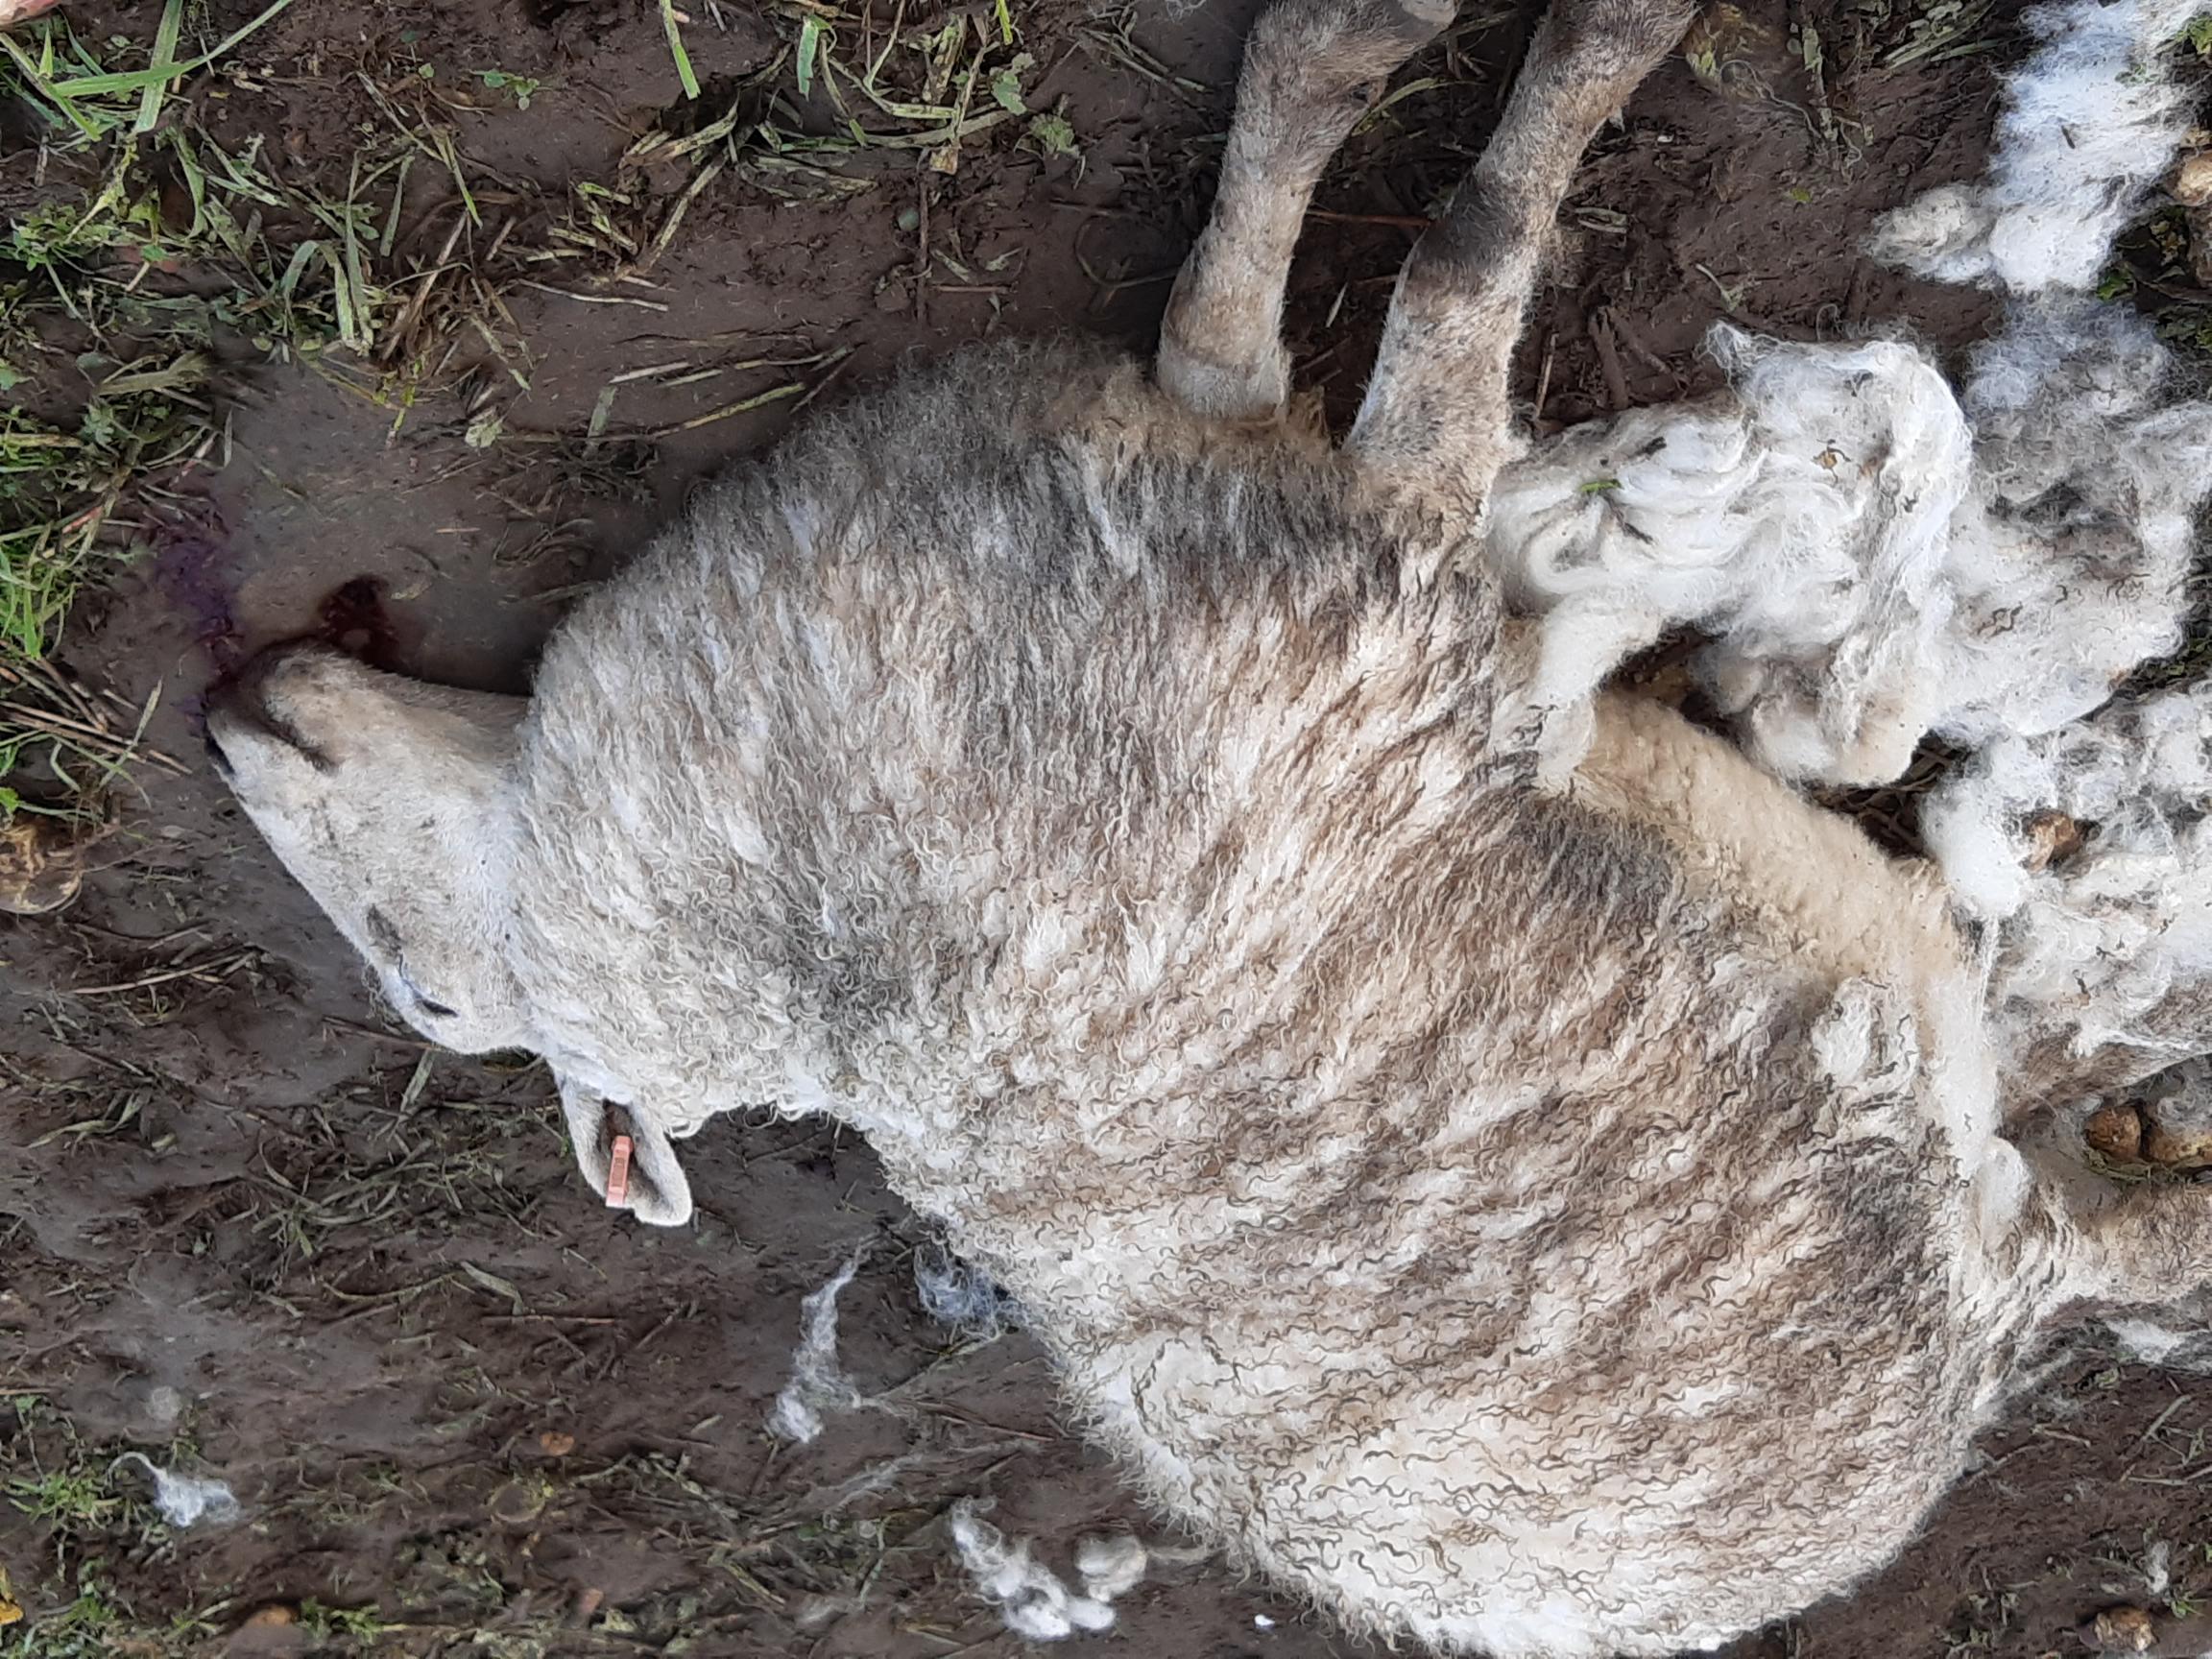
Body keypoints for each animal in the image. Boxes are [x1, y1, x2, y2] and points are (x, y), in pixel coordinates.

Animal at [203, 0, 2212, 1654]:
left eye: (427, 996)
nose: (222, 723)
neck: (793, 961)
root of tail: (1979, 1314)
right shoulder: (1370, 554)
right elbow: (1429, 274)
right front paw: (1499, 54)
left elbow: (1242, 322)